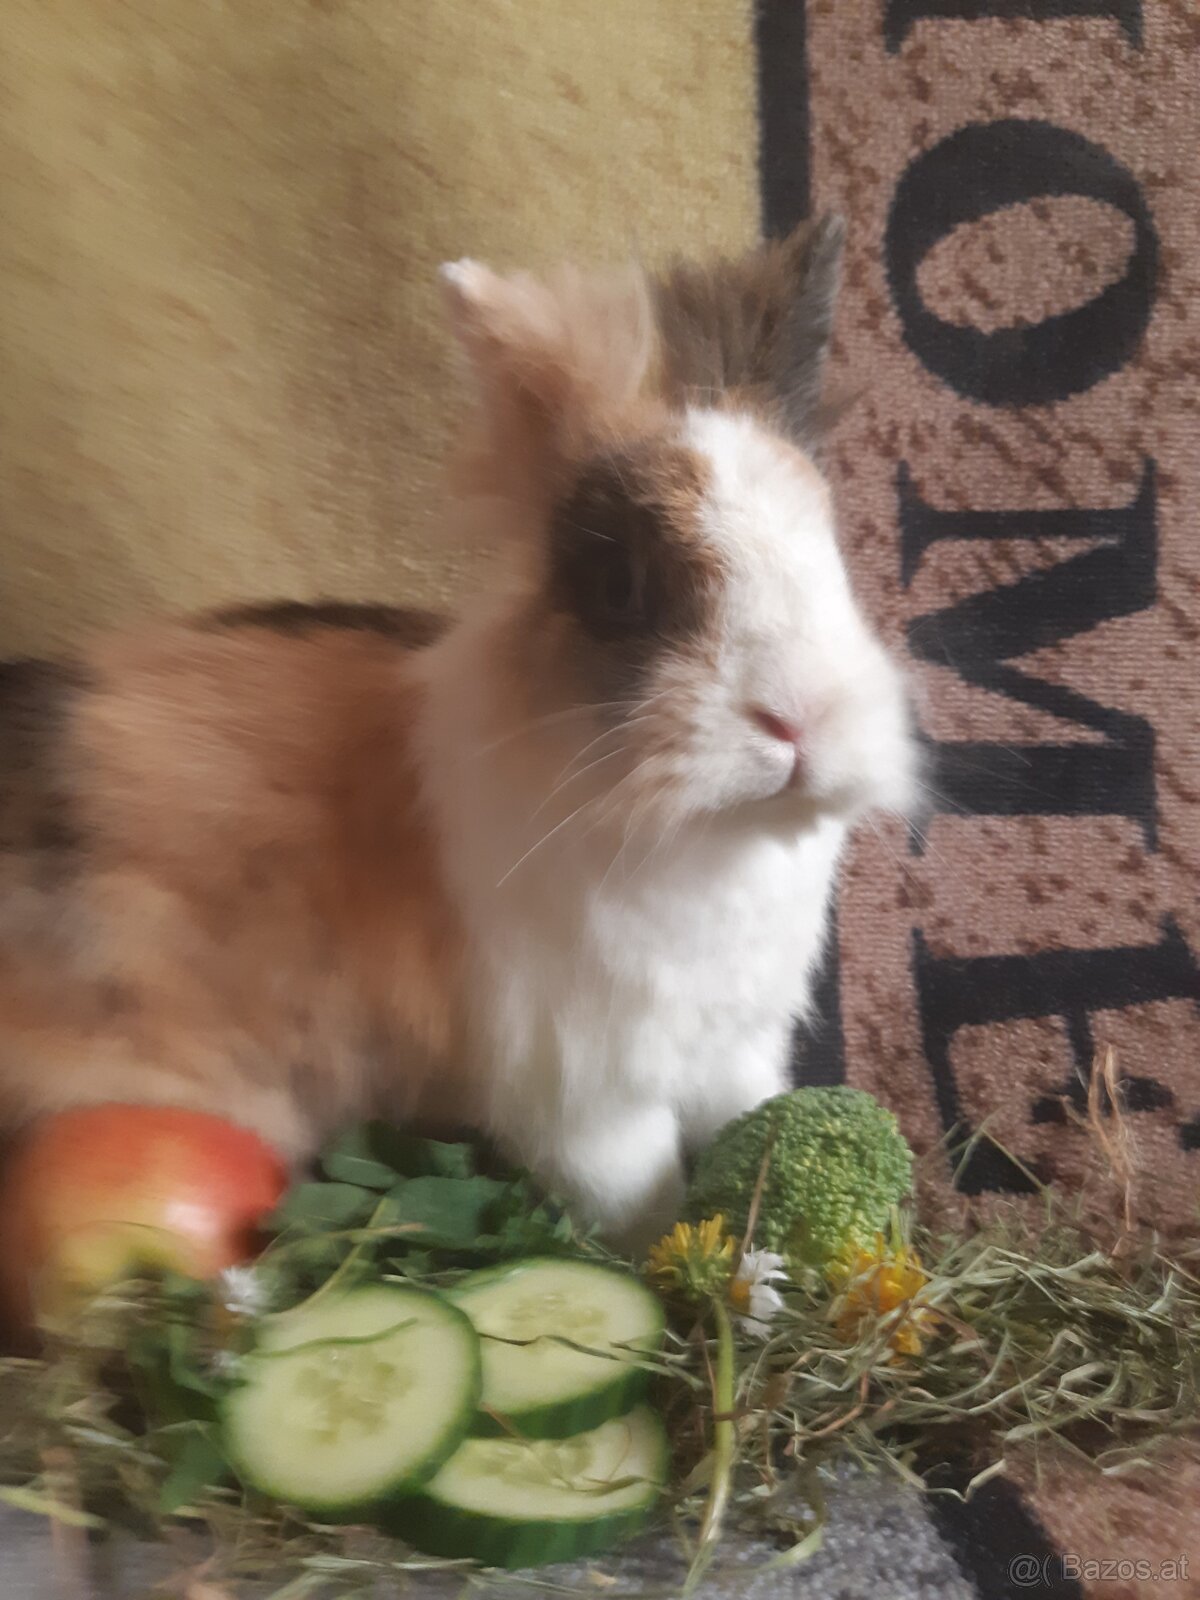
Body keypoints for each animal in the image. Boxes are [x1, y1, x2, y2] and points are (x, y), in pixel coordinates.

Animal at [0, 217, 916, 1252]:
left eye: (830, 547)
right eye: (620, 589)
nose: (799, 718)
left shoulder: (738, 1050)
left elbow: (756, 1125)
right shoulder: (584, 1099)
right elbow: (641, 1203)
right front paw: (667, 1267)